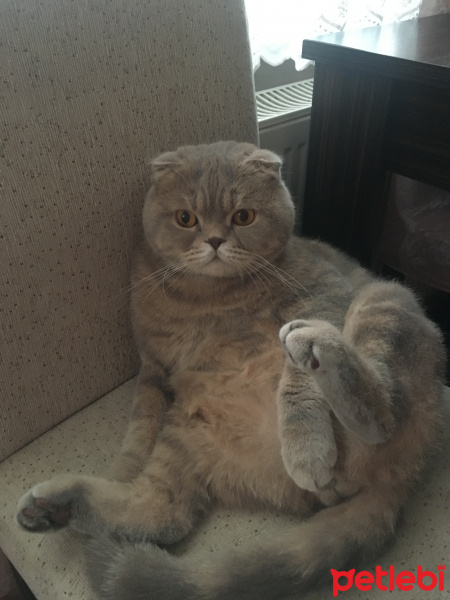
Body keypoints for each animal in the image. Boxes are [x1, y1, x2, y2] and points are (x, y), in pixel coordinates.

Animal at [15, 142, 444, 600]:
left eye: (243, 216)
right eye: (186, 218)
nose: (216, 240)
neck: (204, 299)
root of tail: (407, 474)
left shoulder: (325, 295)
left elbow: (297, 386)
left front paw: (305, 446)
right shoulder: (152, 371)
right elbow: (138, 434)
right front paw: (121, 470)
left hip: (385, 299)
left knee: (383, 413)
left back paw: (314, 349)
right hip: (185, 435)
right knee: (162, 512)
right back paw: (56, 507)